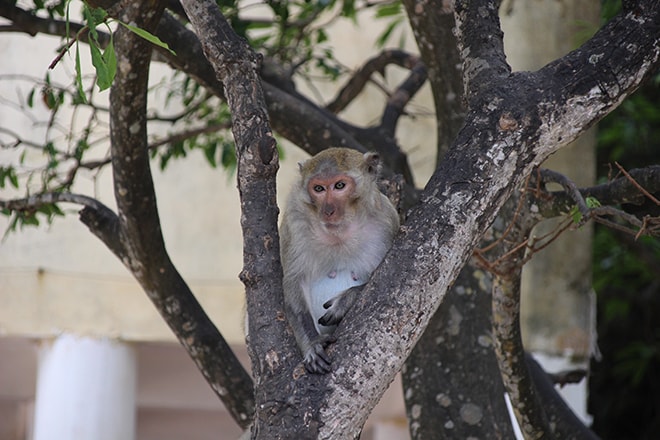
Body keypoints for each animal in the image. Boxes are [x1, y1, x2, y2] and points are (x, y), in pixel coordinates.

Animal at [278, 149, 398, 374]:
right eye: (318, 188)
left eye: (340, 186)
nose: (328, 210)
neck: (342, 231)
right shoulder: (295, 217)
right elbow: (294, 281)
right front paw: (313, 344)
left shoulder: (387, 220)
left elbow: (382, 280)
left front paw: (345, 300)